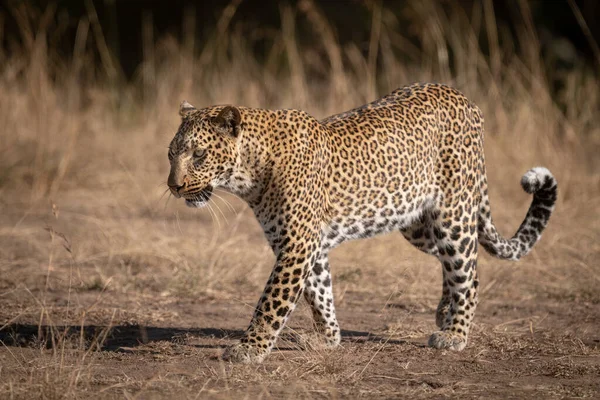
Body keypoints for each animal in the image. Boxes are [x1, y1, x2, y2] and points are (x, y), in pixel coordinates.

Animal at [165, 83, 556, 364]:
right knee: (453, 262)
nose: (174, 186)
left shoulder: (297, 245)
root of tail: (466, 100)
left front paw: (249, 348)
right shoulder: (303, 244)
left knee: (469, 271)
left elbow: (272, 300)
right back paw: (445, 312)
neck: (251, 172)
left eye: (199, 155)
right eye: (171, 154)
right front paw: (327, 339)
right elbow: (319, 293)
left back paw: (455, 334)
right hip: (416, 223)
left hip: (453, 213)